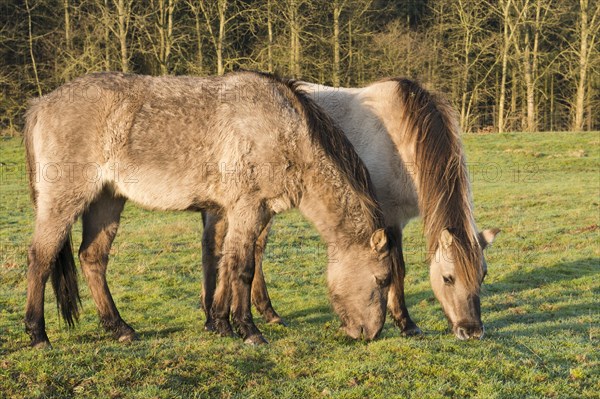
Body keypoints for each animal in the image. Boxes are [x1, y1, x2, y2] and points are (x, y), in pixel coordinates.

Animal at [22, 70, 398, 348]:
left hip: (107, 200)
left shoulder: (225, 211)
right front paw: (249, 330)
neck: (282, 130)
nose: (371, 333)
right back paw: (38, 334)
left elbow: (221, 263)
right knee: (41, 258)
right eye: (382, 279)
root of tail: (41, 103)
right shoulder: (249, 209)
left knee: (92, 259)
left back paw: (119, 328)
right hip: (65, 201)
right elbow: (243, 268)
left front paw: (219, 323)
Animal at [199, 78, 500, 340]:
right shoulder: (388, 219)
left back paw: (262, 312)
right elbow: (397, 268)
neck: (402, 138)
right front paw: (406, 323)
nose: (472, 331)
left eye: (482, 275)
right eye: (448, 278)